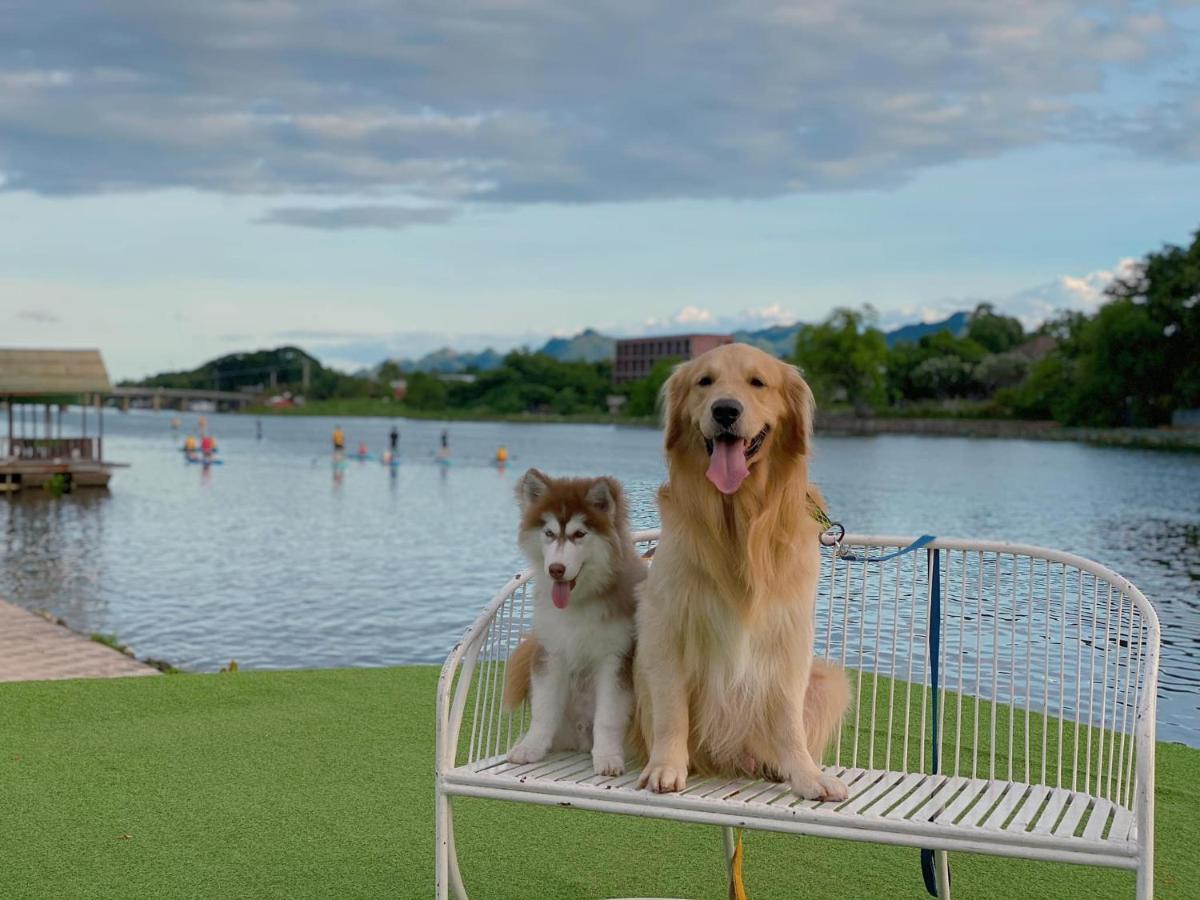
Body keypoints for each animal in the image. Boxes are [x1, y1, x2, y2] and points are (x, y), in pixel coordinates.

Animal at [499, 472, 643, 777]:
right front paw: (531, 747)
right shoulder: (551, 651)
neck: (579, 603)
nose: (556, 569)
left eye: (579, 534)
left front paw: (608, 757)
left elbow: (608, 715)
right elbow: (543, 709)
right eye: (549, 533)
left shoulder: (615, 657)